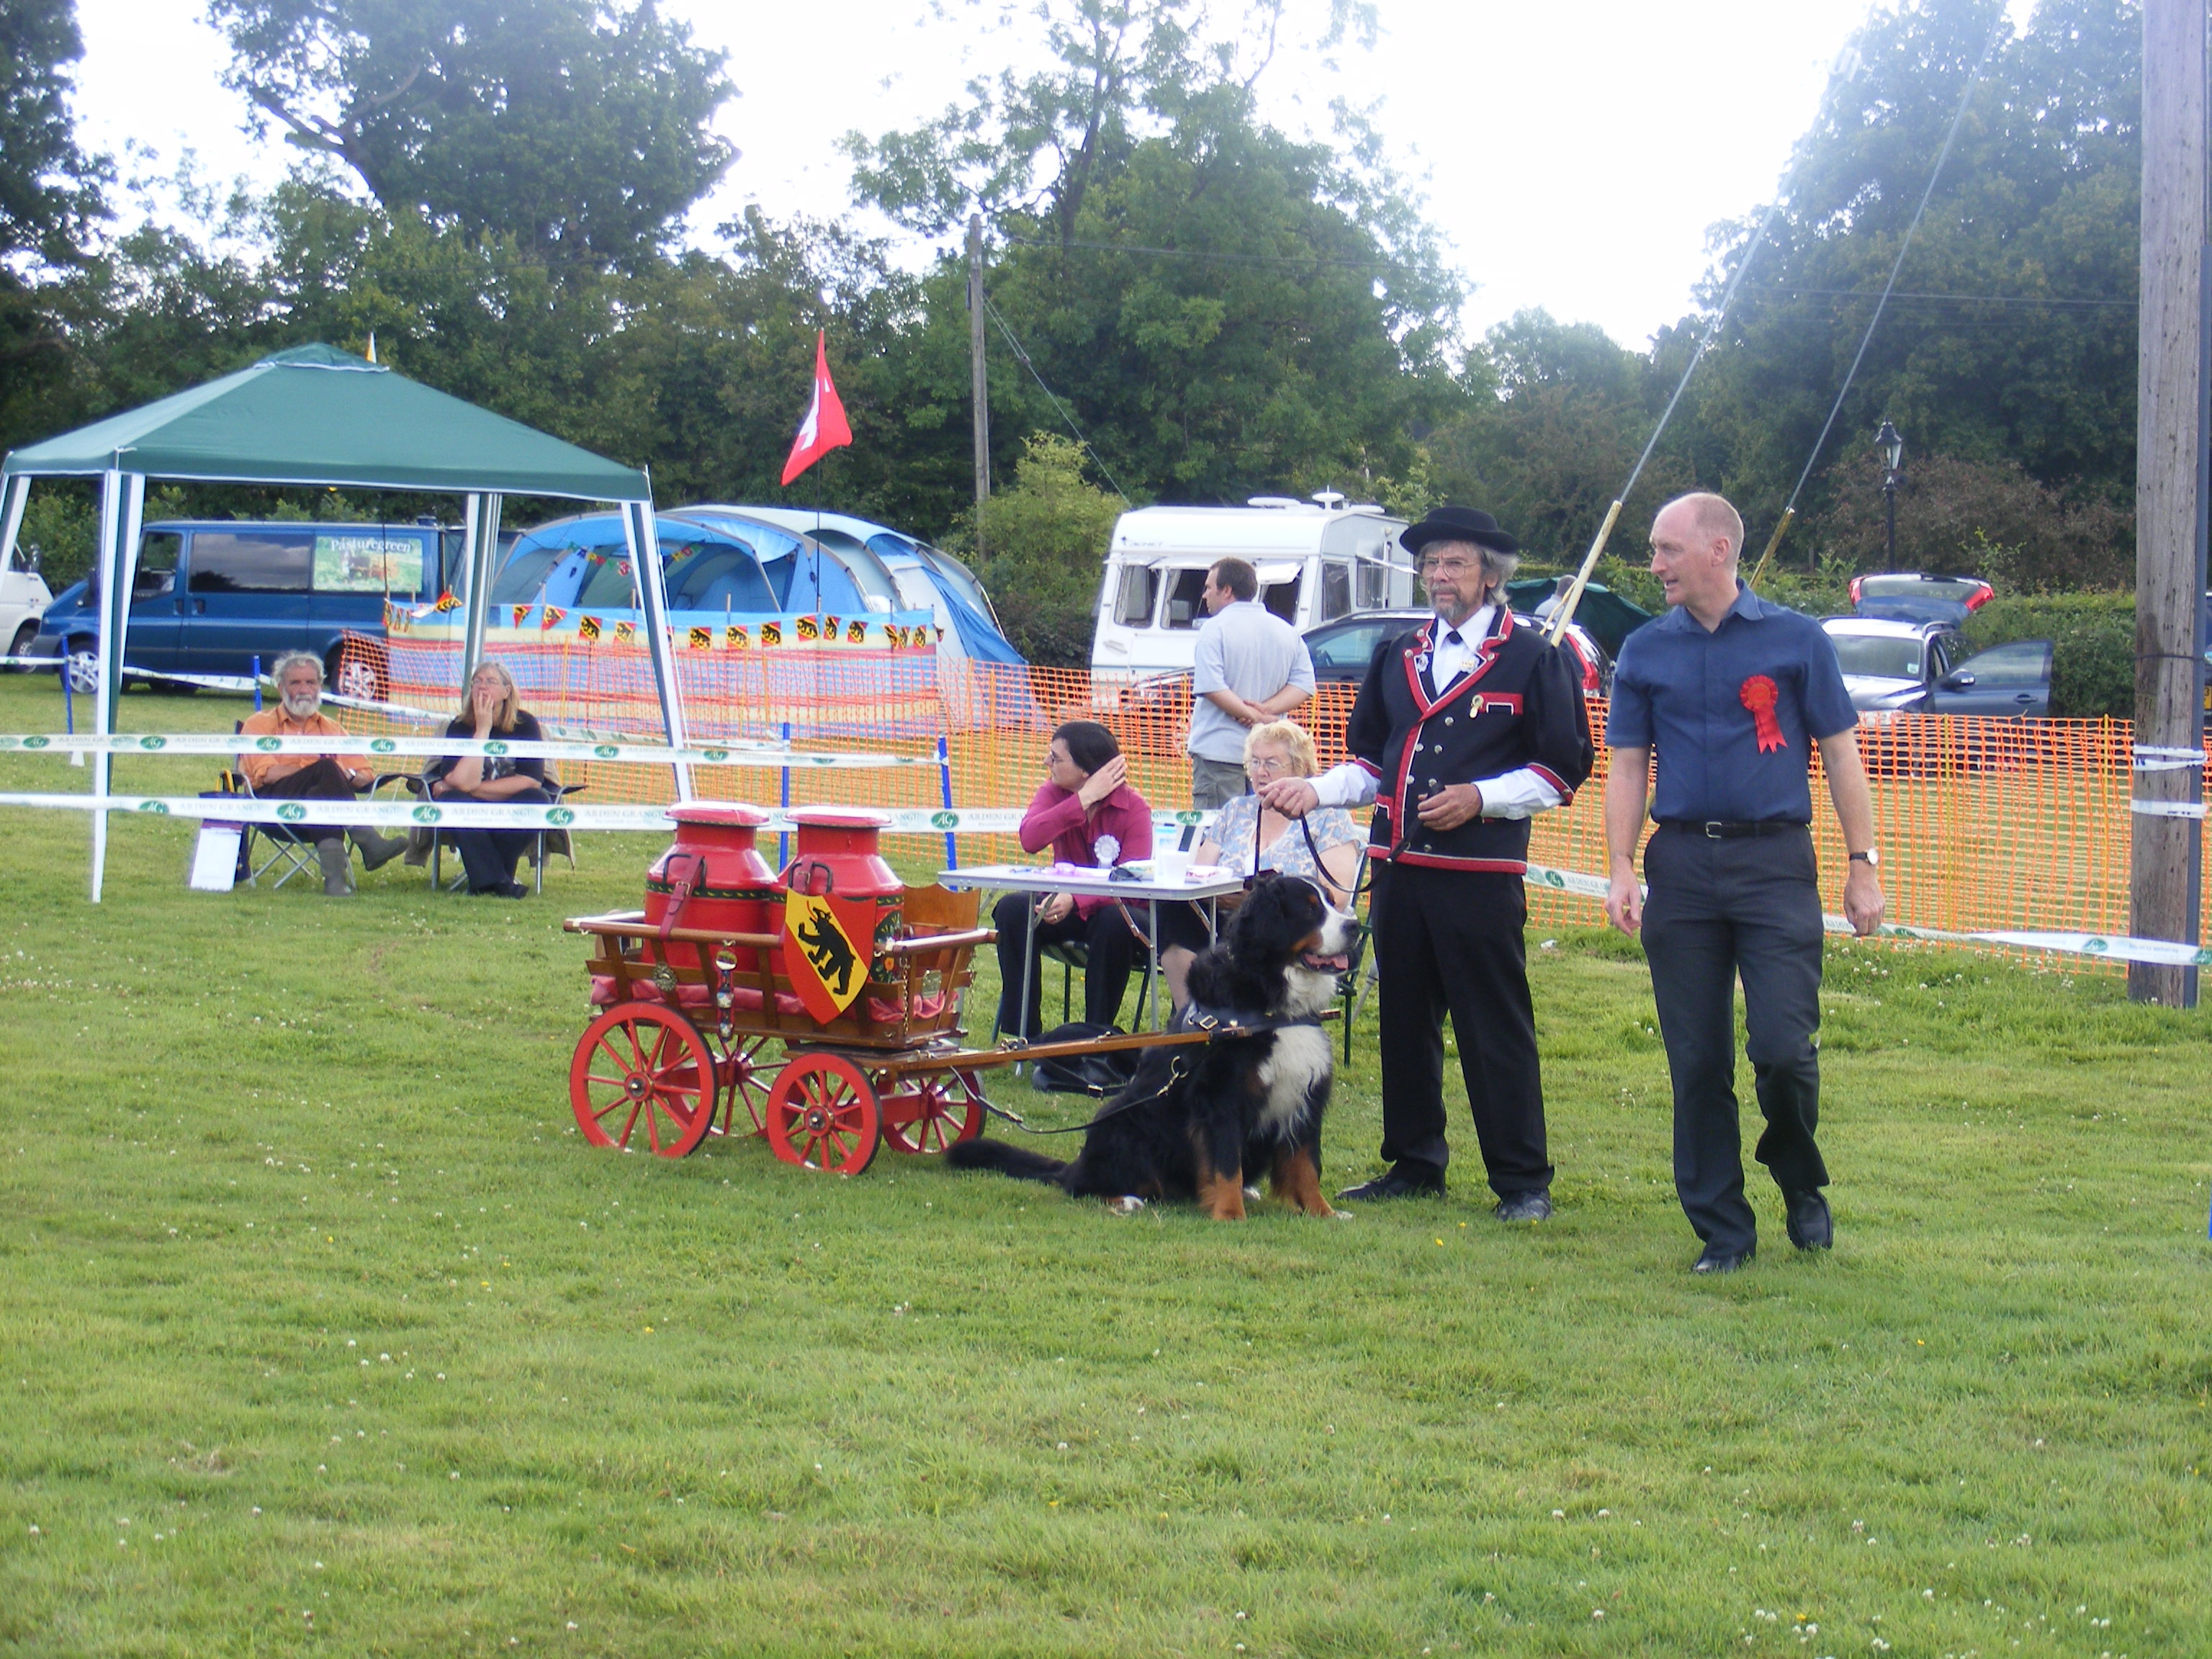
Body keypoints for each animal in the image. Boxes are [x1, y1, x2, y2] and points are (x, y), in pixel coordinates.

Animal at [942, 884, 1354, 1220]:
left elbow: (1306, 1165)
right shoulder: (1221, 1096)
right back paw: (1124, 1199)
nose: (1353, 927)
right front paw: (1230, 1214)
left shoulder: (1306, 1092)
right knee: (1081, 1186)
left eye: (1332, 902)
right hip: (1123, 1121)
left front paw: (1324, 1213)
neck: (1272, 1003)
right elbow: (1225, 1164)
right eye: (1309, 910)